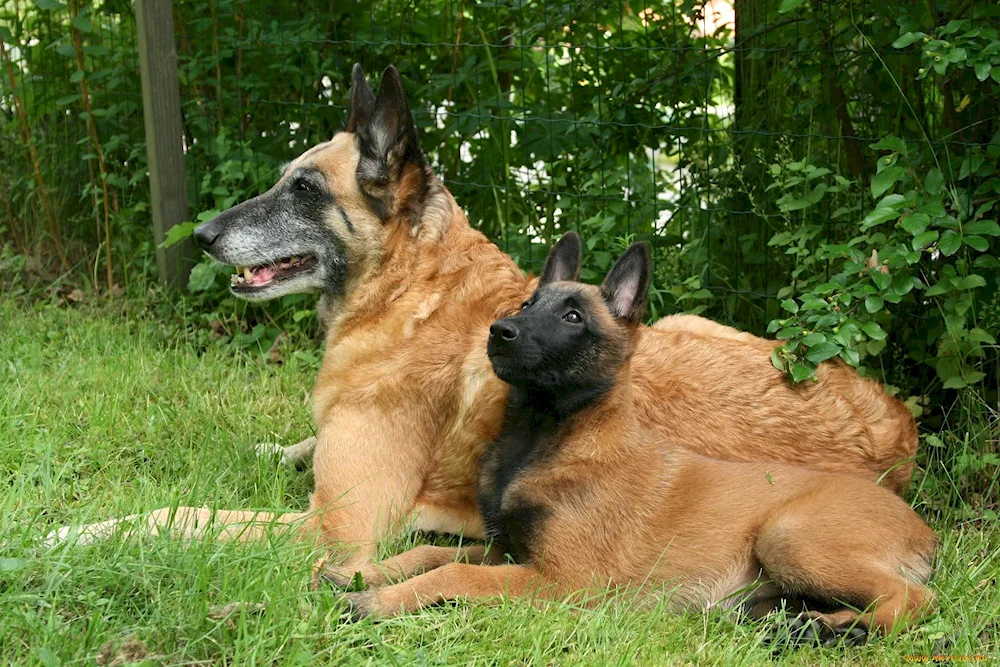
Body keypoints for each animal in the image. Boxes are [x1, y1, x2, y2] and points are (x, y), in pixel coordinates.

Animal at [50, 65, 916, 572]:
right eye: (281, 179)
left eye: (303, 189)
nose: (199, 236)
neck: (410, 293)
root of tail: (901, 434)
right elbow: (290, 448)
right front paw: (283, 444)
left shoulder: (337, 528)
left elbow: (179, 514)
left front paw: (78, 532)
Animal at [328, 240, 936, 648]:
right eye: (526, 306)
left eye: (573, 316)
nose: (499, 331)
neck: (543, 437)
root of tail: (922, 529)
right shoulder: (509, 553)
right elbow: (429, 552)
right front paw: (360, 573)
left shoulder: (563, 583)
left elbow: (452, 573)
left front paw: (374, 601)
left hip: (787, 536)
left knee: (915, 599)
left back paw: (845, 628)